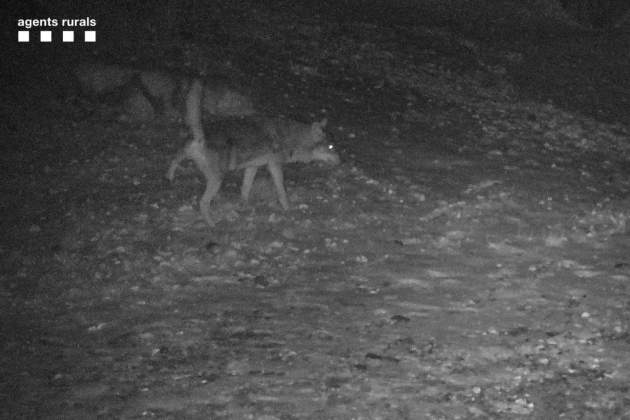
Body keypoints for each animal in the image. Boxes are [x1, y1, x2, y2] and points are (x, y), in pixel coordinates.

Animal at [167, 79, 340, 226]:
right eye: (331, 147)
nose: (341, 161)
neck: (291, 137)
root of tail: (200, 137)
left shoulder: (252, 167)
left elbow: (245, 188)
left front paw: (244, 205)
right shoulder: (274, 165)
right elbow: (281, 190)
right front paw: (287, 208)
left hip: (190, 157)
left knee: (174, 159)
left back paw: (169, 177)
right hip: (217, 180)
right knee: (202, 203)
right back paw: (212, 224)